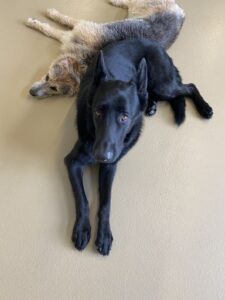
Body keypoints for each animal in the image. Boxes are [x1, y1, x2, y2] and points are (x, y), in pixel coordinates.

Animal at [26, 0, 185, 98]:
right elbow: (63, 20)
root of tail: (181, 12)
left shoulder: (71, 34)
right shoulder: (79, 28)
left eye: (54, 88)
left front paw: (38, 22)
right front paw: (47, 15)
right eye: (47, 77)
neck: (85, 59)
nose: (31, 92)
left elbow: (52, 29)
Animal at [64, 38, 213, 255]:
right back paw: (151, 105)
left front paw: (104, 233)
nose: (101, 156)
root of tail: (153, 44)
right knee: (157, 93)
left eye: (124, 117)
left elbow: (106, 202)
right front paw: (83, 229)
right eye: (98, 112)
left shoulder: (110, 166)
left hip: (164, 85)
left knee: (189, 86)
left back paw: (204, 108)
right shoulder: (73, 162)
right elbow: (82, 199)